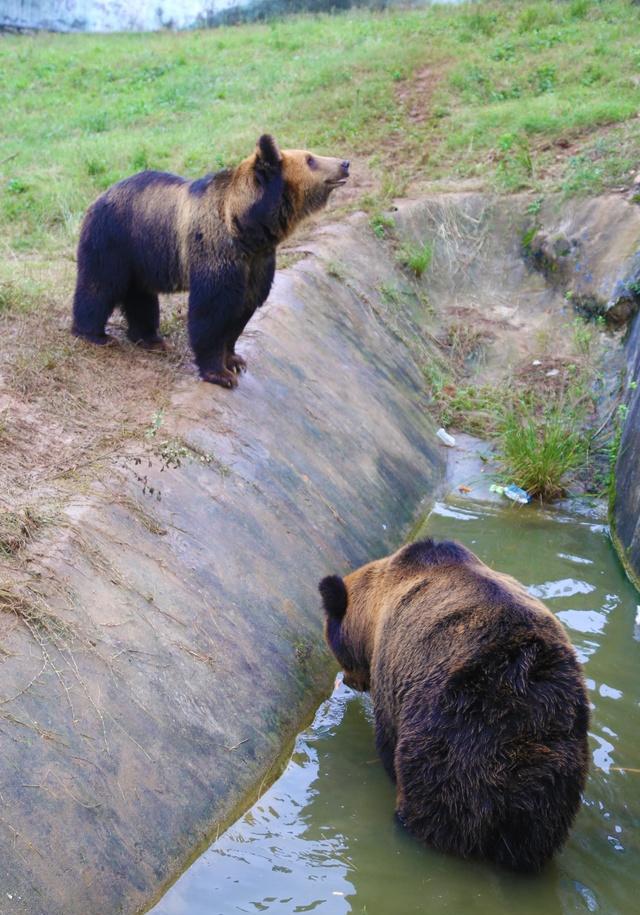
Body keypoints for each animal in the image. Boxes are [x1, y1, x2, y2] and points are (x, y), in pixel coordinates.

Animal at [71, 135, 349, 388]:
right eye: (310, 159)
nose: (344, 163)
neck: (247, 228)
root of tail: (98, 198)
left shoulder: (258, 263)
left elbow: (243, 309)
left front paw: (235, 360)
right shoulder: (217, 251)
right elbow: (211, 313)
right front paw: (219, 373)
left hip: (141, 256)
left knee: (140, 297)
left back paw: (150, 338)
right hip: (115, 240)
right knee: (99, 285)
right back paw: (93, 334)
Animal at [319, 538, 589, 873]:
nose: (348, 680)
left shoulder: (394, 676)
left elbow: (387, 737)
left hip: (454, 744)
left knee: (435, 810)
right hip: (556, 773)